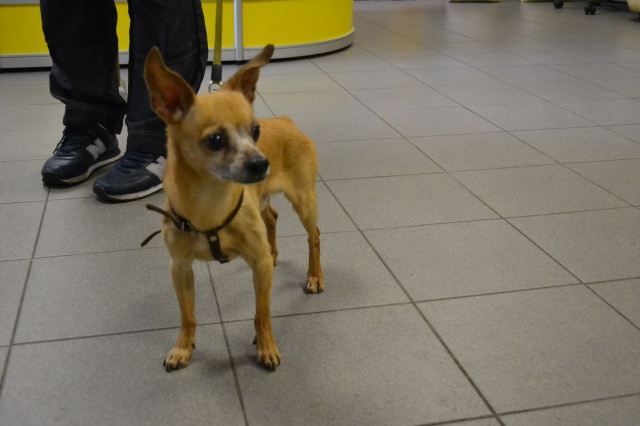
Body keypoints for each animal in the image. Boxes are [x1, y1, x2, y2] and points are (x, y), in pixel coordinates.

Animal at [142, 44, 323, 372]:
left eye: (255, 130)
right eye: (215, 139)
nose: (261, 163)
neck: (209, 204)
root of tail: (286, 121)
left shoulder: (258, 268)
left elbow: (261, 314)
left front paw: (266, 347)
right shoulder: (180, 268)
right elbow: (187, 315)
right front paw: (183, 347)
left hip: (305, 203)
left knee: (313, 235)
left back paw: (314, 276)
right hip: (263, 203)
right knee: (272, 218)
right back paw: (274, 252)